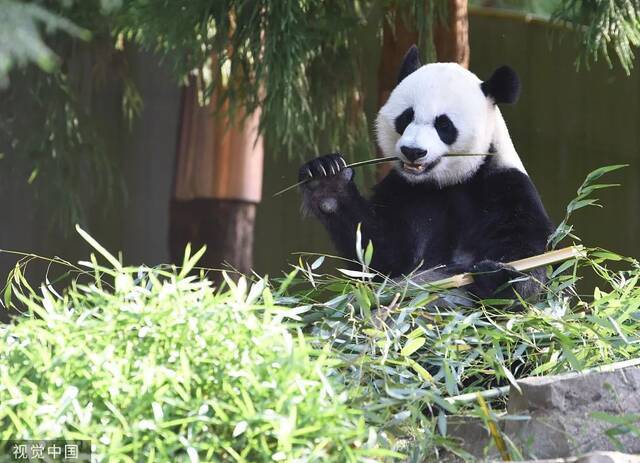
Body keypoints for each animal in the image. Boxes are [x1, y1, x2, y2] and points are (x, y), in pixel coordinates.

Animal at [300, 45, 556, 302]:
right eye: (406, 117)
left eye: (444, 125)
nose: (412, 151)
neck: (447, 182)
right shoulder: (405, 191)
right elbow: (381, 257)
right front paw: (326, 179)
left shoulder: (505, 187)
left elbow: (527, 256)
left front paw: (498, 276)